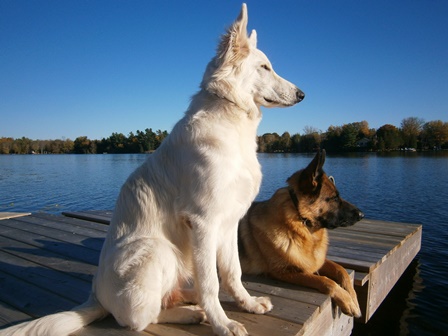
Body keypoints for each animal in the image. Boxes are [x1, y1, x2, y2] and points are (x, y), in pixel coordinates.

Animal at [0, 3, 304, 336]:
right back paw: (192, 313)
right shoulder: (203, 222)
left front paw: (247, 304)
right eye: (265, 67)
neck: (230, 119)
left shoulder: (228, 222)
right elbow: (211, 282)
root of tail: (96, 296)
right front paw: (222, 323)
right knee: (142, 318)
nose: (302, 94)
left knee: (171, 296)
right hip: (156, 249)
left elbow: (231, 273)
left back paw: (190, 300)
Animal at [238, 150, 364, 318]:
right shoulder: (284, 272)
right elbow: (326, 281)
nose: (362, 215)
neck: (300, 222)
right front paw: (347, 300)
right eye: (334, 198)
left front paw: (353, 298)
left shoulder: (315, 261)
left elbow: (341, 270)